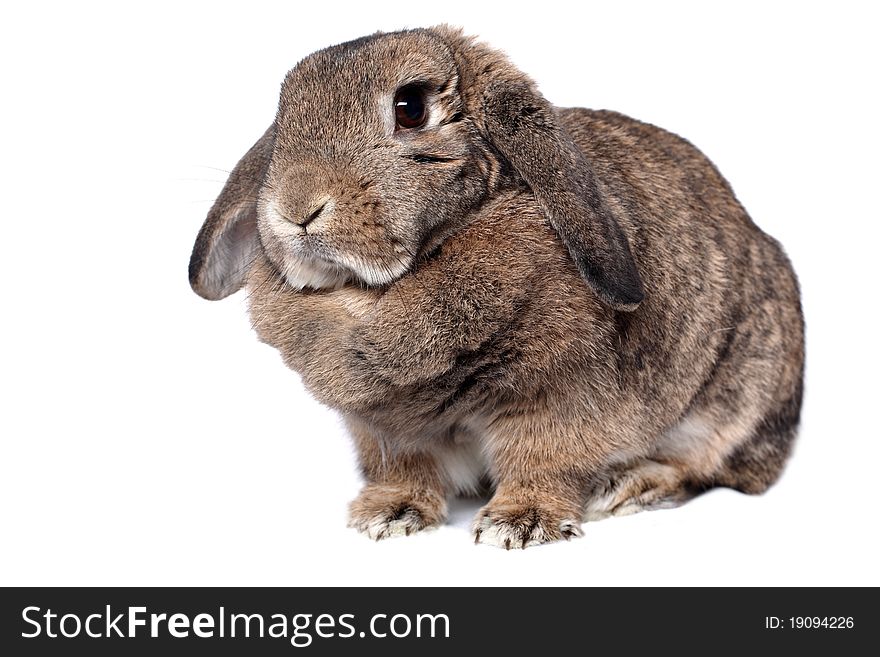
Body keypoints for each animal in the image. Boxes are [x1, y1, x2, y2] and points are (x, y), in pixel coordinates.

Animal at [191, 25, 804, 544]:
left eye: (410, 108)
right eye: (284, 119)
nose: (294, 209)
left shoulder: (559, 395)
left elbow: (543, 458)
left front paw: (521, 523)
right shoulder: (384, 430)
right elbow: (405, 469)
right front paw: (387, 515)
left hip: (736, 400)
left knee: (702, 466)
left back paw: (633, 486)